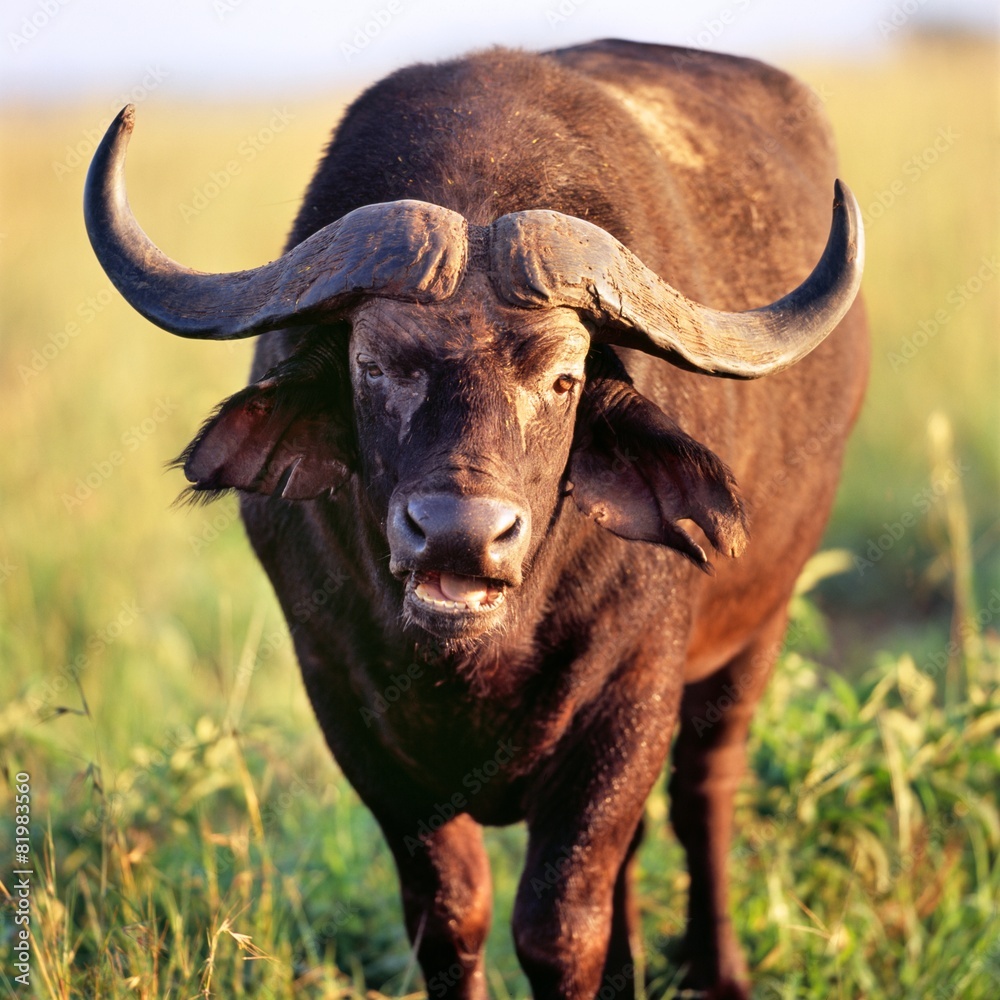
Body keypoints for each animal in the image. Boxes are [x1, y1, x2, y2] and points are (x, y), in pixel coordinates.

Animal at [85, 39, 867, 1000]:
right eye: (376, 365)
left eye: (564, 378)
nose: (460, 533)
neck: (474, 663)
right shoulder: (348, 706)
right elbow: (451, 914)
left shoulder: (631, 693)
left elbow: (560, 921)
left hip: (759, 624)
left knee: (702, 794)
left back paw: (716, 969)